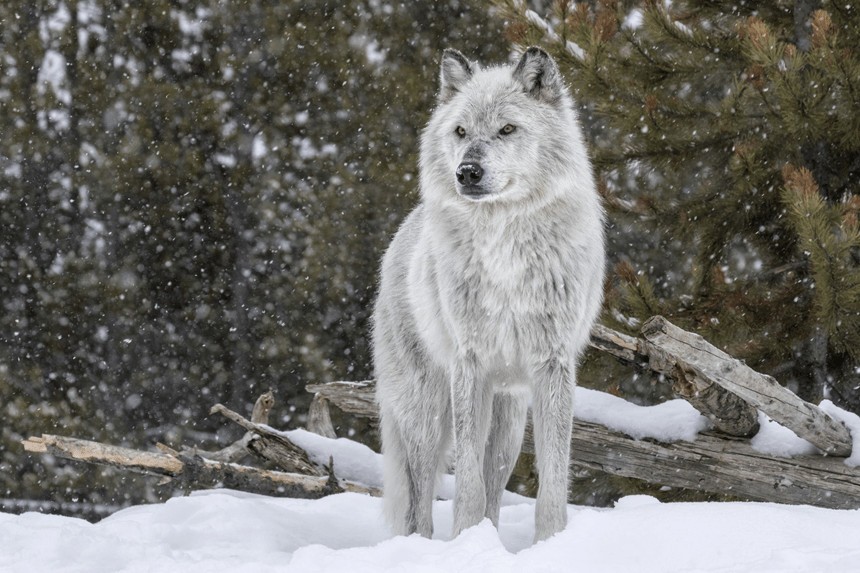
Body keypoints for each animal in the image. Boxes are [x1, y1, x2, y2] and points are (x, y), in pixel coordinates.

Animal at [372, 48, 608, 540]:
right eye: (461, 131)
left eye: (507, 129)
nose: (467, 172)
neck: (505, 246)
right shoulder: (470, 364)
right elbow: (466, 484)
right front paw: (465, 540)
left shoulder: (552, 365)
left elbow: (553, 479)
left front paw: (551, 541)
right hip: (427, 413)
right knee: (420, 500)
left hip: (509, 420)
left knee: (495, 481)